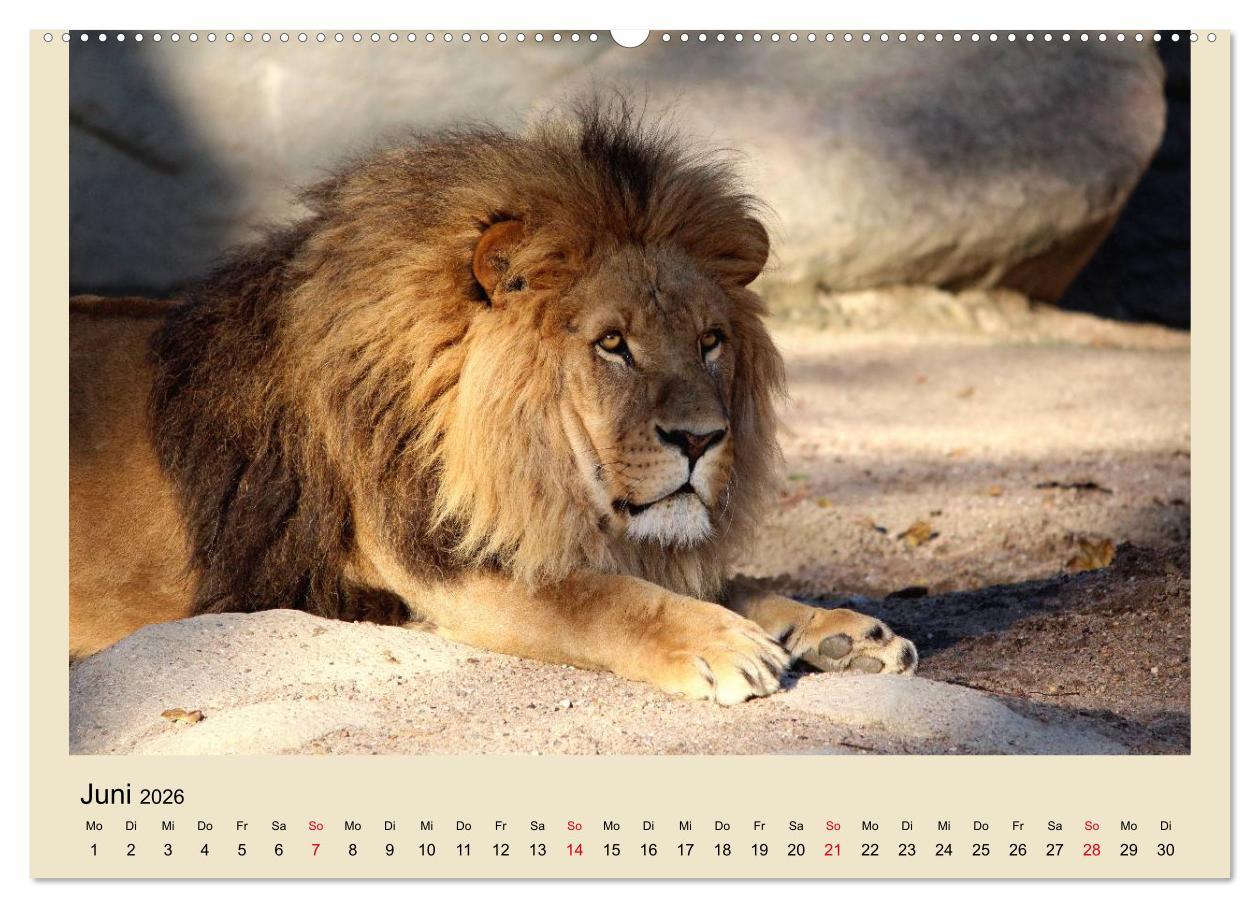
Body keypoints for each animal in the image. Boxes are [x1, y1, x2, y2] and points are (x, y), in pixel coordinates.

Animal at [70, 105, 916, 704]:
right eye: (613, 344)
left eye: (710, 341)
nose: (701, 440)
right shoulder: (438, 560)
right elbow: (599, 595)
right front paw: (724, 643)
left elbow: (717, 579)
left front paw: (840, 630)